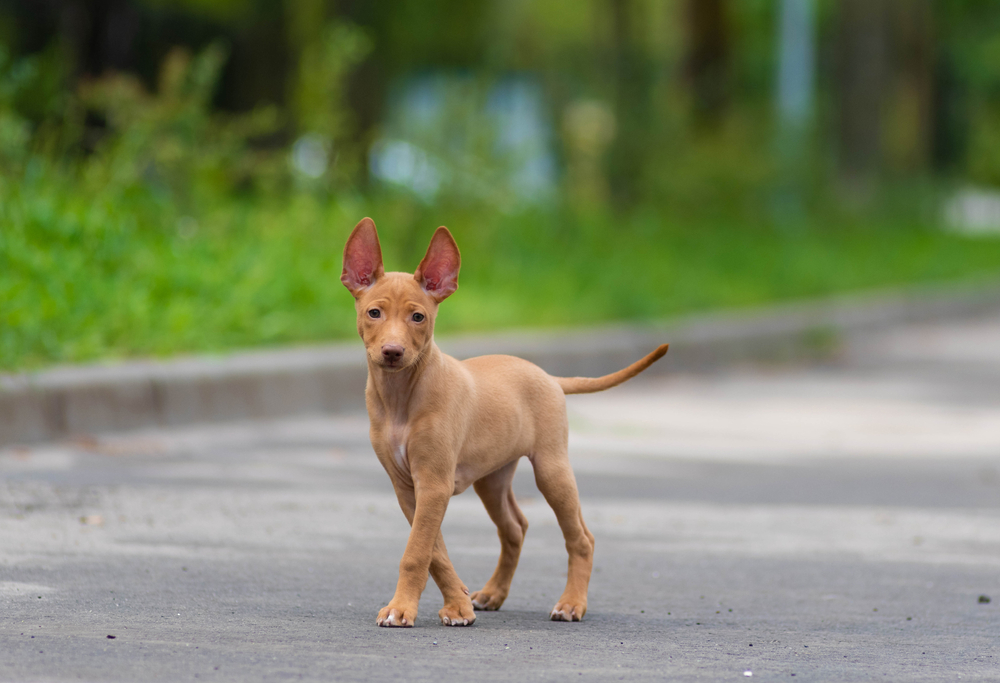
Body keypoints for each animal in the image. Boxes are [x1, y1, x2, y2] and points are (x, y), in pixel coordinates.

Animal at [340, 216, 668, 628]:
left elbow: (417, 552)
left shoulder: (433, 484)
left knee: (581, 537)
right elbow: (435, 551)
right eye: (374, 313)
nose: (393, 352)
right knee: (515, 528)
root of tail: (549, 377)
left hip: (552, 470)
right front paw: (458, 604)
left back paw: (571, 603)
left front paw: (404, 608)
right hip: (492, 478)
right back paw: (493, 593)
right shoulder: (408, 488)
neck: (401, 397)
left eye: (418, 317)